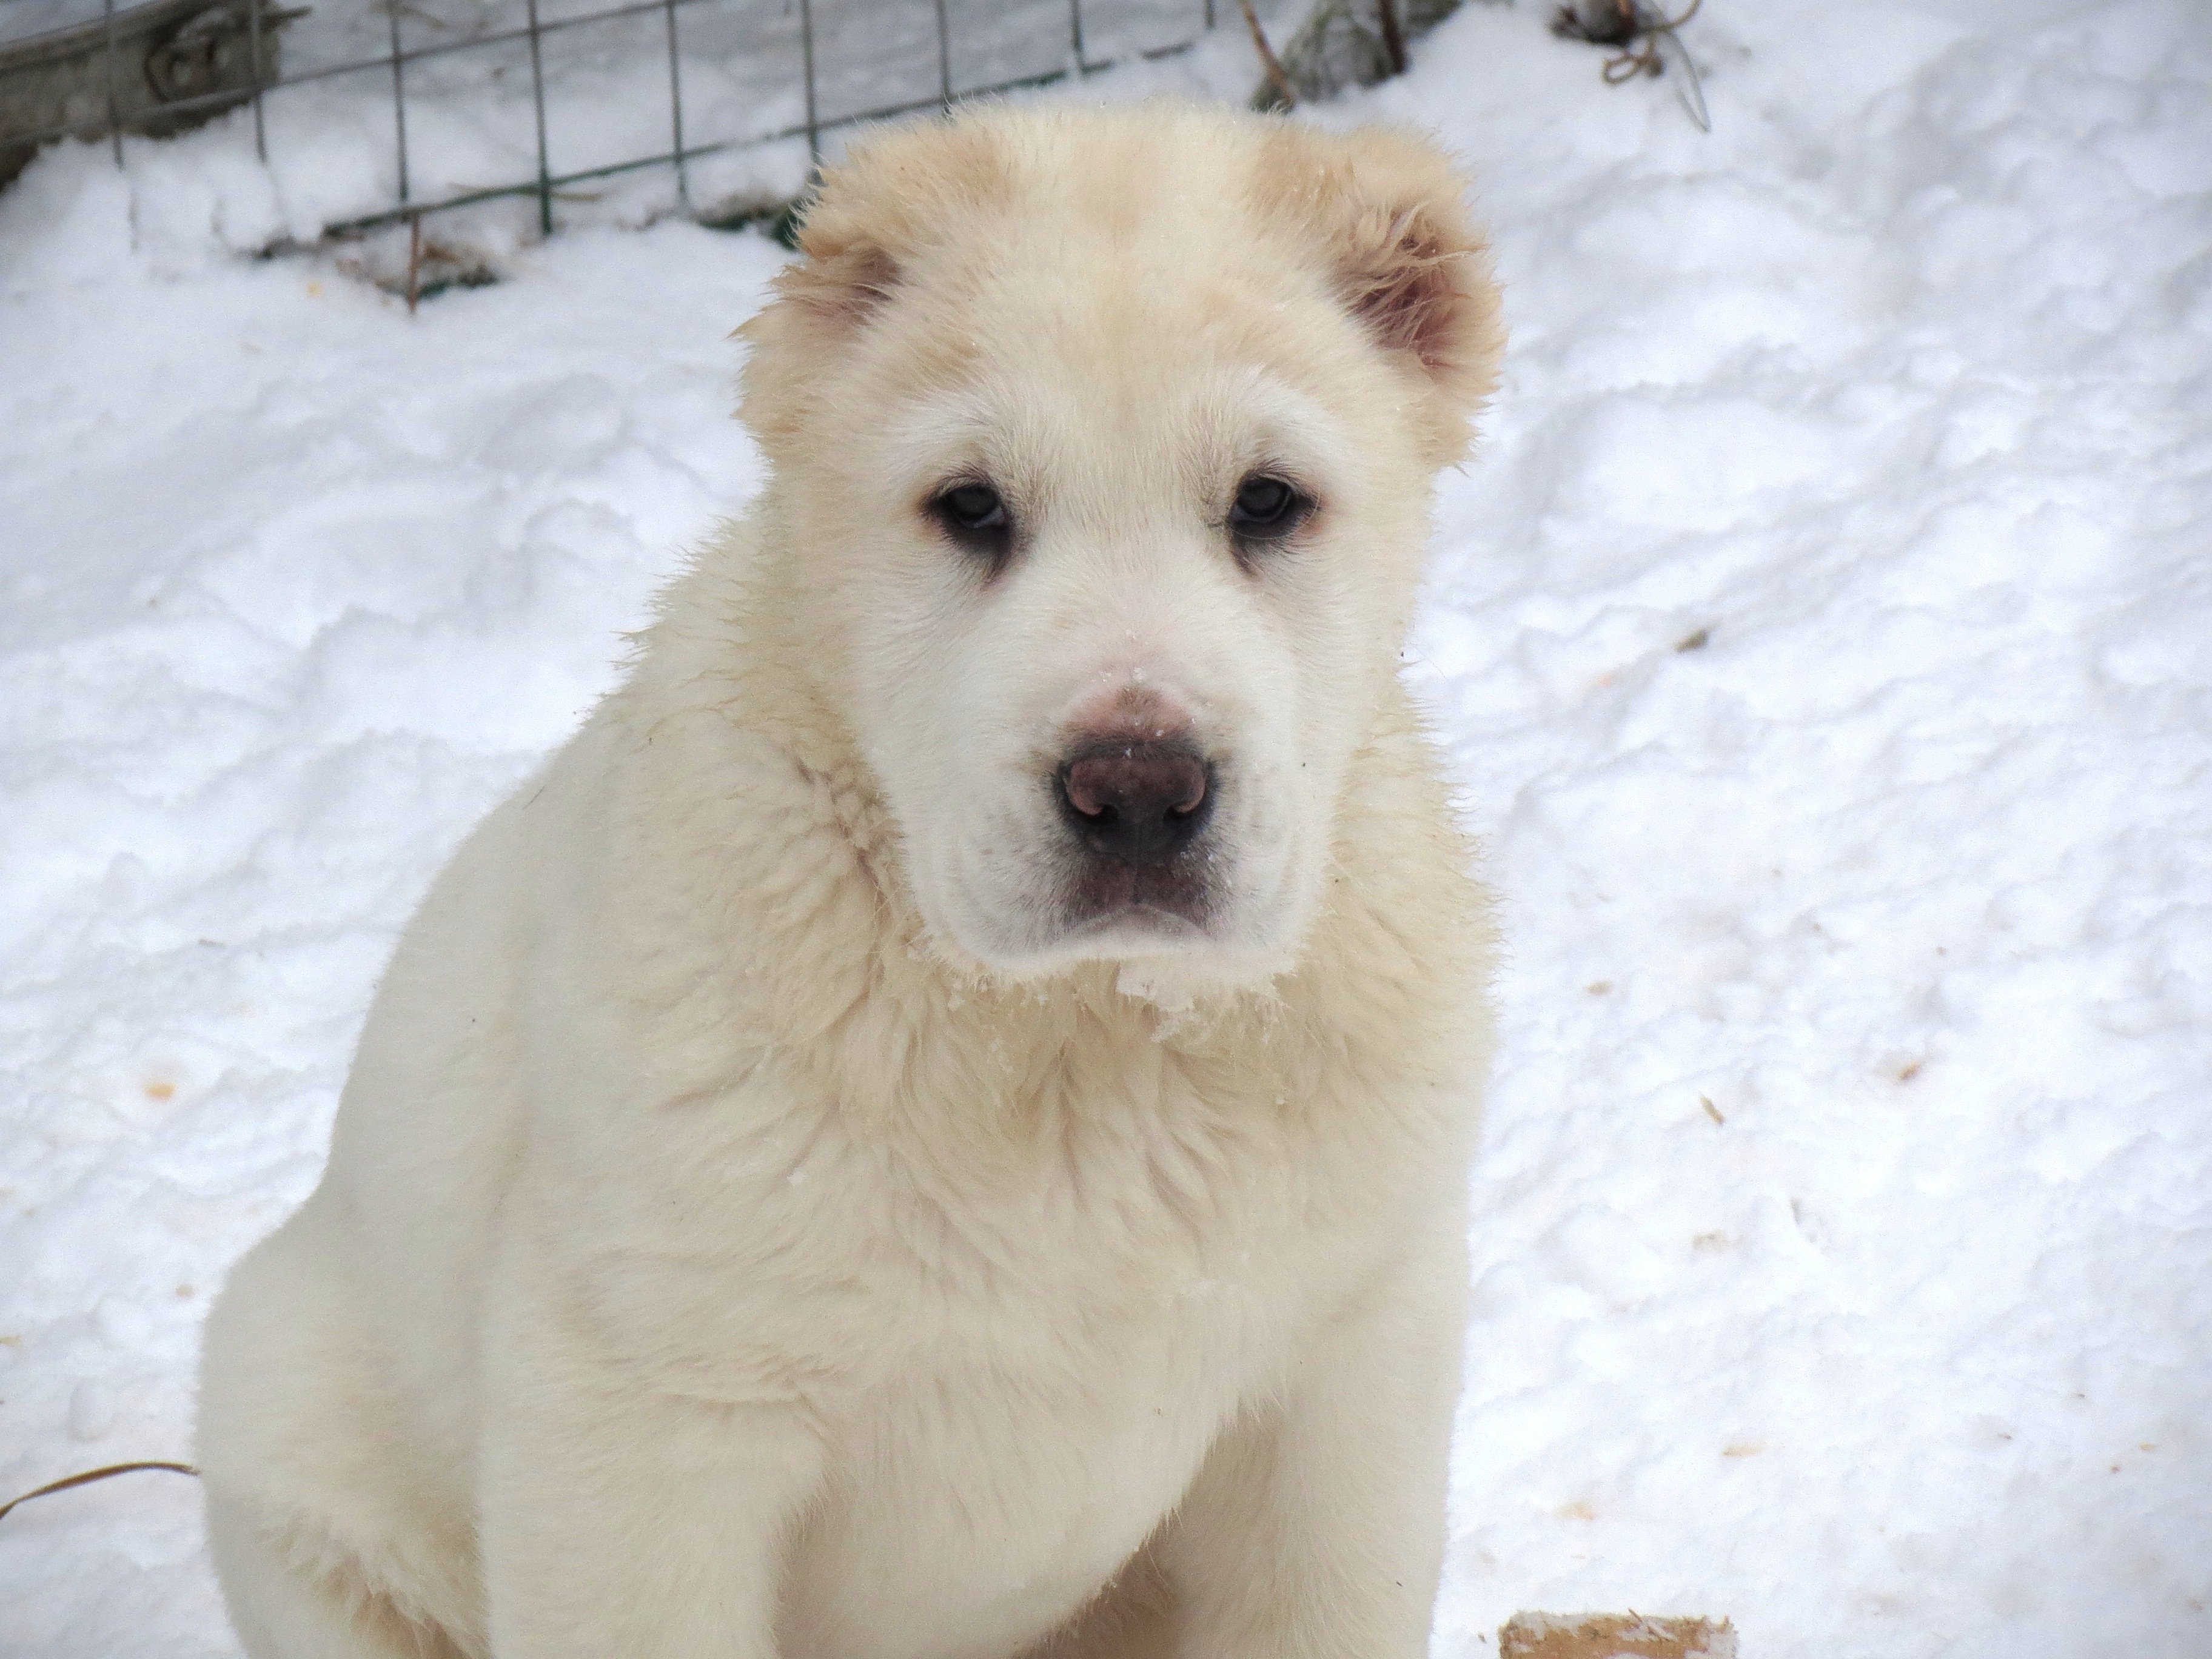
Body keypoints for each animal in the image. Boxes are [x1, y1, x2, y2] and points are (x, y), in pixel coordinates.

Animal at [195, 100, 1504, 1659]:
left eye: (1267, 501)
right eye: (971, 507)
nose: (1136, 789)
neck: (1083, 1044)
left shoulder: (1347, 1377)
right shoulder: (643, 1422)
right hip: (289, 1451)